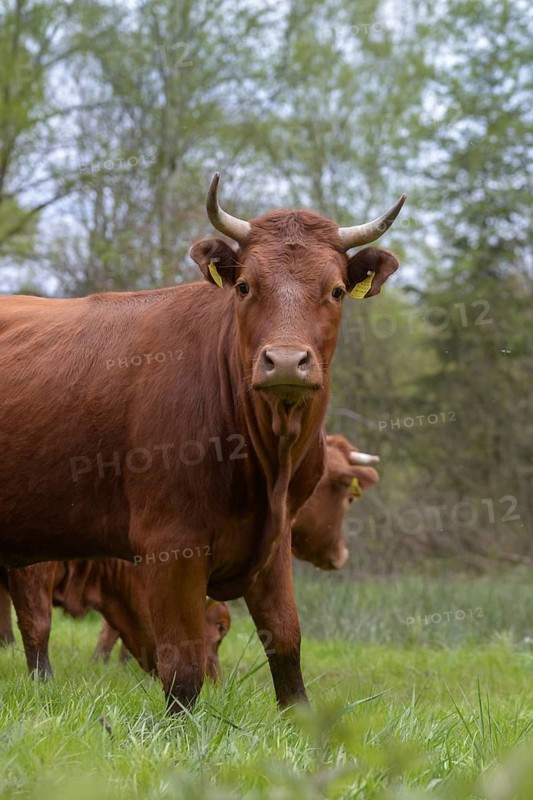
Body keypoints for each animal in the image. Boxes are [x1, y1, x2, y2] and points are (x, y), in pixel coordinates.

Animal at [0, 173, 404, 711]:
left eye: (337, 290)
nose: (285, 361)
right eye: (245, 286)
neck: (265, 460)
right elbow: (180, 668)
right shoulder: (170, 546)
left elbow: (287, 644)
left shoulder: (273, 541)